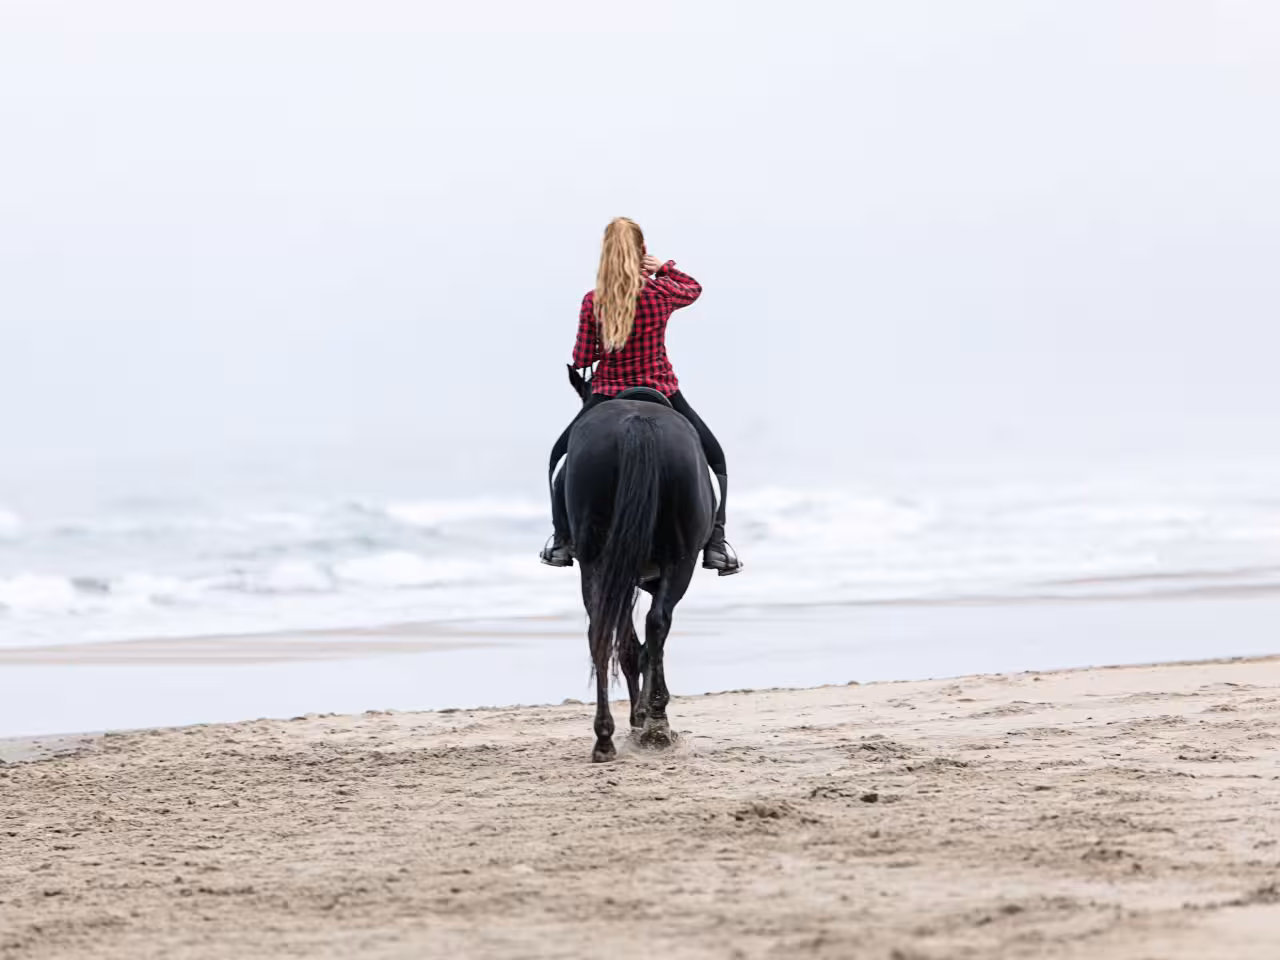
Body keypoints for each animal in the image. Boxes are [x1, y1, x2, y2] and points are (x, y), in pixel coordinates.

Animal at [554, 366, 716, 762]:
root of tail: (637, 424)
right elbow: (644, 647)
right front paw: (644, 714)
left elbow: (631, 646)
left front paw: (637, 716)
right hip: (678, 561)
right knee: (654, 625)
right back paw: (654, 723)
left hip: (599, 564)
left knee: (604, 633)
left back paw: (607, 738)